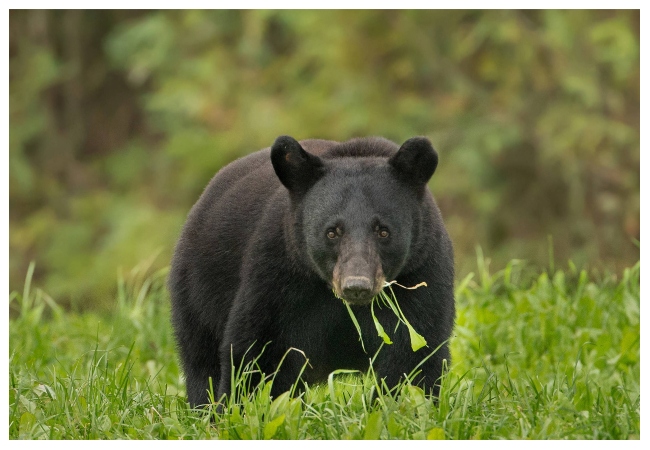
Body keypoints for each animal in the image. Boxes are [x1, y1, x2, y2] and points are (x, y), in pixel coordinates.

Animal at [170, 135, 454, 406]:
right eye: (332, 232)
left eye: (383, 231)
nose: (357, 286)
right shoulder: (278, 275)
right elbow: (257, 353)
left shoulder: (421, 274)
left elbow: (413, 355)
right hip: (198, 290)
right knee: (201, 361)